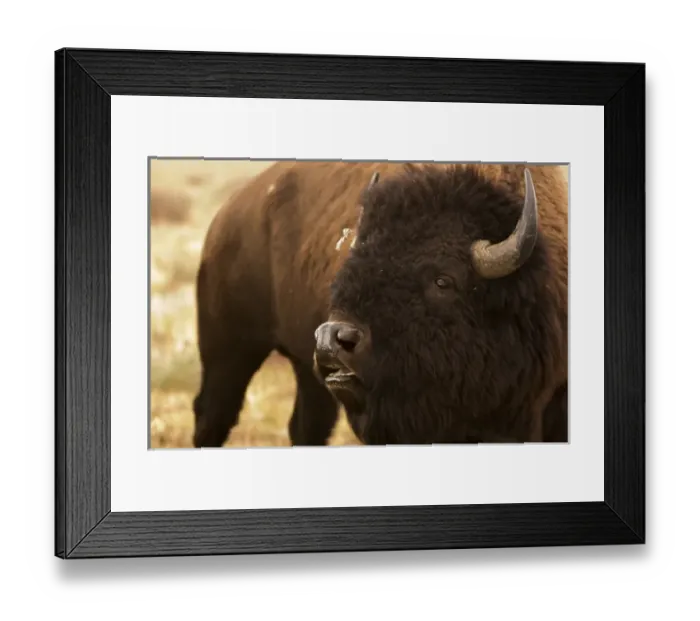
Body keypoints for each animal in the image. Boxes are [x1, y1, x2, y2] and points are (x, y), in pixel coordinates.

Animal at [192, 161, 568, 447]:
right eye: (350, 266)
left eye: (443, 280)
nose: (330, 340)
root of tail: (229, 212)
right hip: (229, 351)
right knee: (212, 416)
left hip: (305, 372)